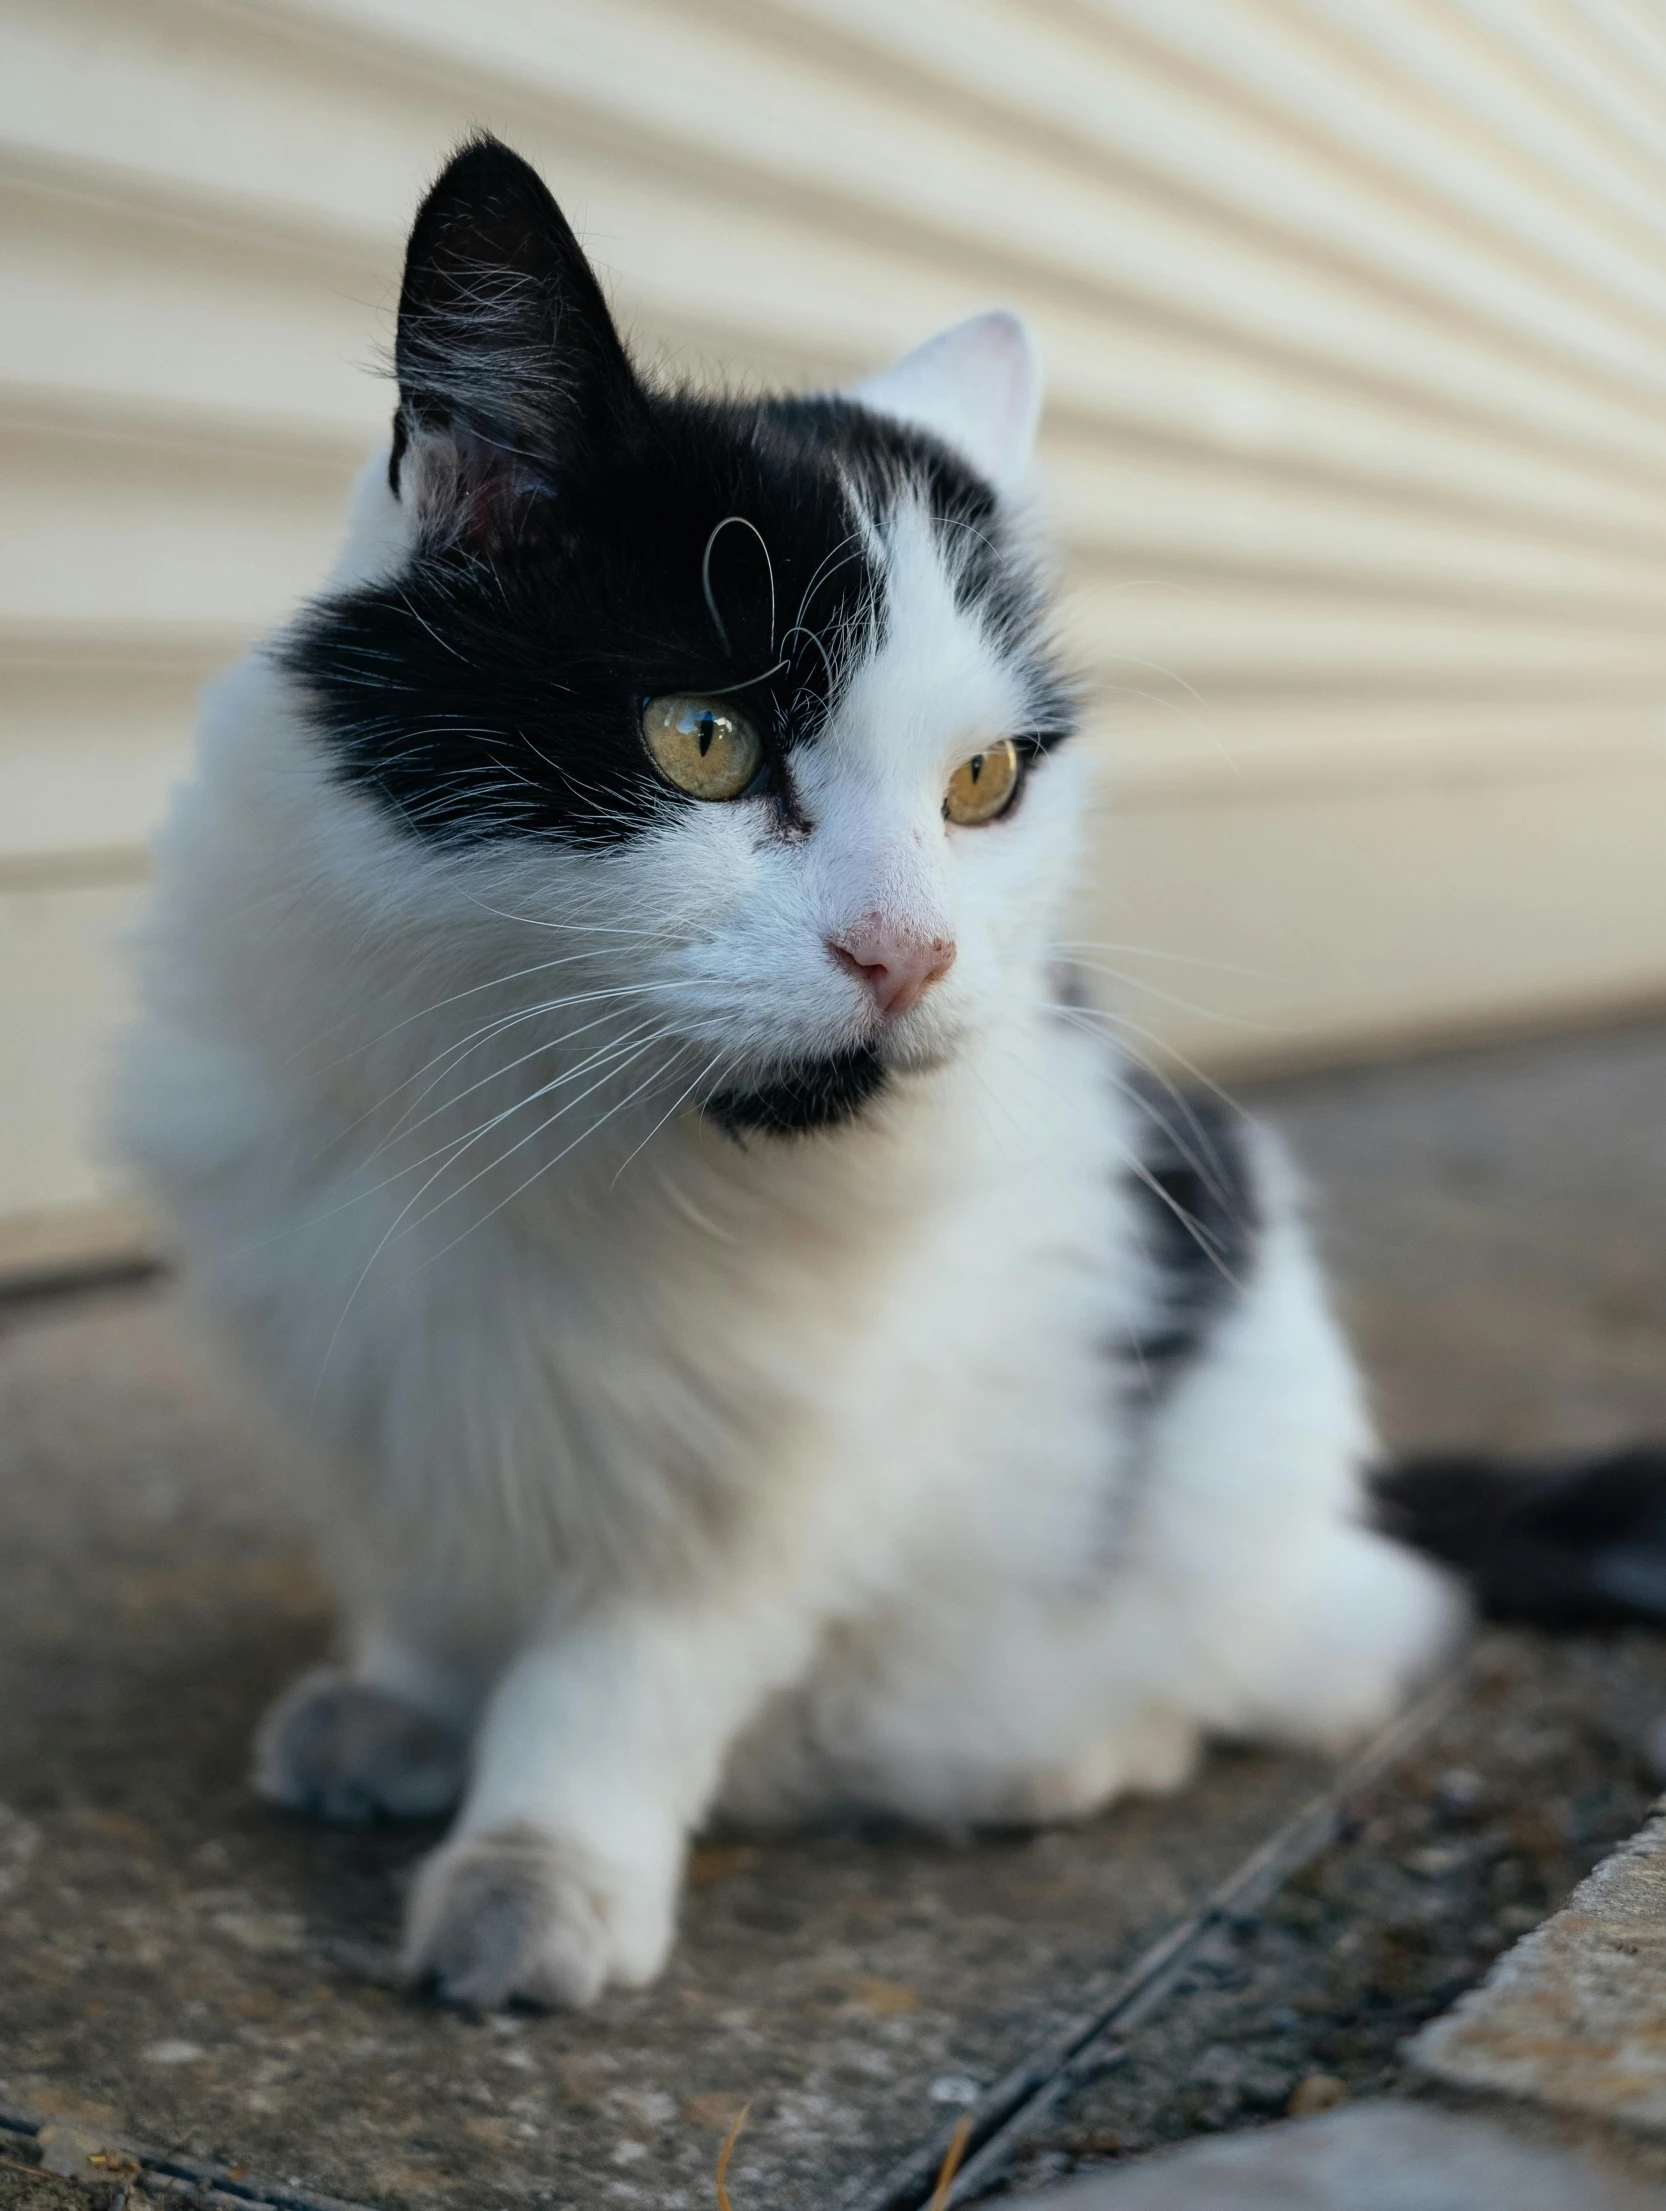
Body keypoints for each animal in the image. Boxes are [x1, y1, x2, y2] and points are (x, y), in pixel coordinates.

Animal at [123, 138, 1458, 2007]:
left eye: (982, 783)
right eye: (703, 738)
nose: (909, 953)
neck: (540, 1126)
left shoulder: (778, 1473)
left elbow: (621, 1669)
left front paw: (536, 1870)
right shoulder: (366, 1360)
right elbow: (425, 1558)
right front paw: (404, 1701)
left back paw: (1056, 1753)